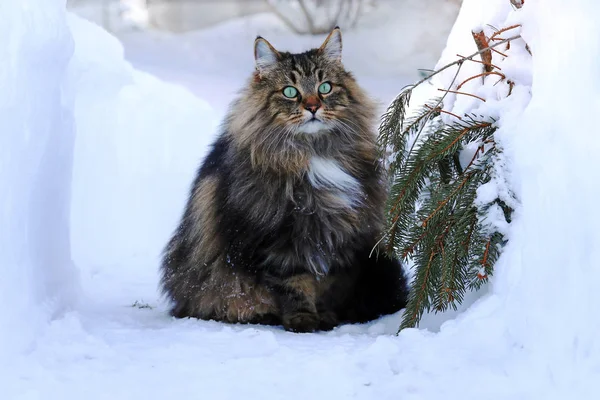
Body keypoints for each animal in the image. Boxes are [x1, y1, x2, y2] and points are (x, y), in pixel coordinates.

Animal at [161, 25, 408, 332]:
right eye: (290, 92)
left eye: (325, 87)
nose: (312, 107)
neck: (313, 153)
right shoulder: (277, 239)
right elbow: (294, 285)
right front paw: (303, 320)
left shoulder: (339, 238)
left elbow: (328, 285)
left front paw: (325, 317)